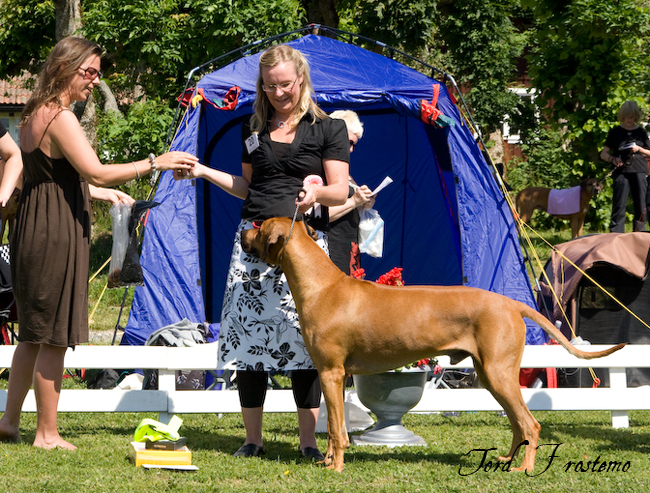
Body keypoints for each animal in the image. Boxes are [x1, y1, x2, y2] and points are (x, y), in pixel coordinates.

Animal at [242, 219, 624, 472]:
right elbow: (337, 429)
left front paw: (335, 467)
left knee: (530, 424)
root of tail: (510, 302)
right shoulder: (331, 375)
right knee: (518, 424)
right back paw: (506, 459)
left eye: (259, 226)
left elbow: (337, 429)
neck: (320, 284)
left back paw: (524, 469)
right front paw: (327, 462)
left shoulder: (331, 373)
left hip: (498, 374)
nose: (244, 229)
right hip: (492, 375)